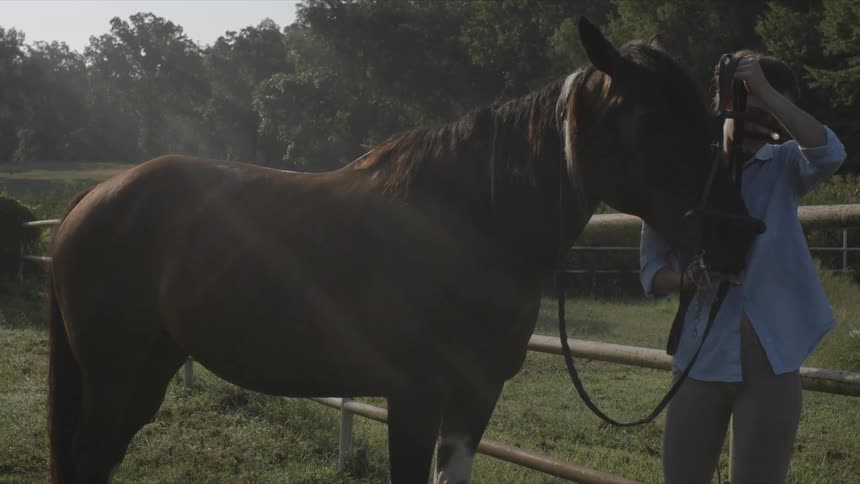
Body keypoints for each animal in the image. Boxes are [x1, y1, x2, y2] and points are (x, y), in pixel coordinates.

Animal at [46, 18, 754, 483]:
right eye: (652, 119)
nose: (741, 234)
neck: (466, 226)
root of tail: (92, 198)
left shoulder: (473, 401)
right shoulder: (413, 399)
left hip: (148, 369)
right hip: (113, 374)